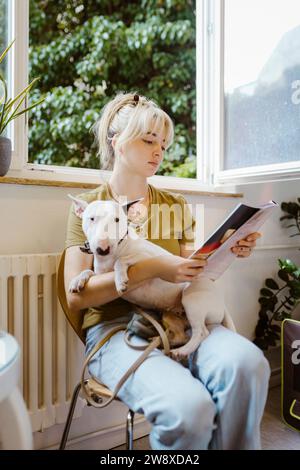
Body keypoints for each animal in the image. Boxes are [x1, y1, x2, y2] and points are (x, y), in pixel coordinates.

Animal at [68, 195, 237, 360]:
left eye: (117, 220)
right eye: (91, 218)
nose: (102, 249)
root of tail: (222, 302)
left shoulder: (149, 256)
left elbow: (120, 260)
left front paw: (120, 280)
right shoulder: (100, 275)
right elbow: (88, 272)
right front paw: (77, 280)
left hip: (192, 298)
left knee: (201, 332)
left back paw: (181, 351)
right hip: (170, 315)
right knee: (181, 335)